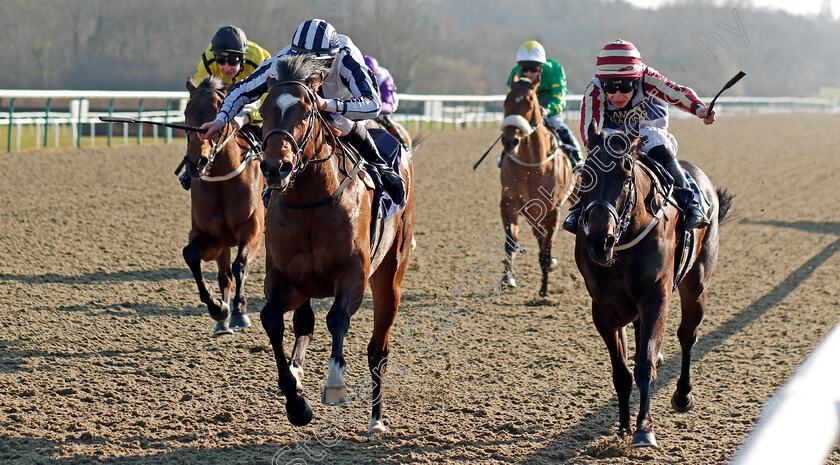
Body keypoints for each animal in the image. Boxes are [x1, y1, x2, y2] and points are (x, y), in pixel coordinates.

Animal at [184, 78, 266, 336]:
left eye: (217, 111)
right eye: (186, 112)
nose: (196, 162)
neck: (221, 181)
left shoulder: (253, 229)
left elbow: (240, 265)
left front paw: (239, 312)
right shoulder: (211, 235)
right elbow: (191, 255)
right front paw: (218, 308)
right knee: (224, 275)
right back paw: (222, 322)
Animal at [256, 56, 414, 434]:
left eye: (306, 111)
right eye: (264, 110)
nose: (275, 167)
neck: (311, 202)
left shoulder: (353, 275)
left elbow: (338, 319)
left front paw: (335, 385)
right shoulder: (286, 279)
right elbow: (272, 319)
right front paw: (296, 402)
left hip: (390, 276)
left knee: (378, 350)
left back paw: (376, 420)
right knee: (305, 324)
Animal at [498, 74, 576, 296]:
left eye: (530, 102)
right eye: (505, 101)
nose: (510, 141)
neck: (532, 165)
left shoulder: (552, 209)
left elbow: (545, 250)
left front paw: (543, 291)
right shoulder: (510, 202)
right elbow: (511, 241)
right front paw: (508, 278)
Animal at [576, 129, 732, 448]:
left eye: (625, 175)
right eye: (585, 175)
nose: (599, 241)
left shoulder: (656, 298)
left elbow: (645, 363)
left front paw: (644, 428)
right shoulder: (604, 309)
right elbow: (622, 372)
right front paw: (624, 427)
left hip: (696, 285)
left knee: (688, 335)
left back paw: (683, 394)